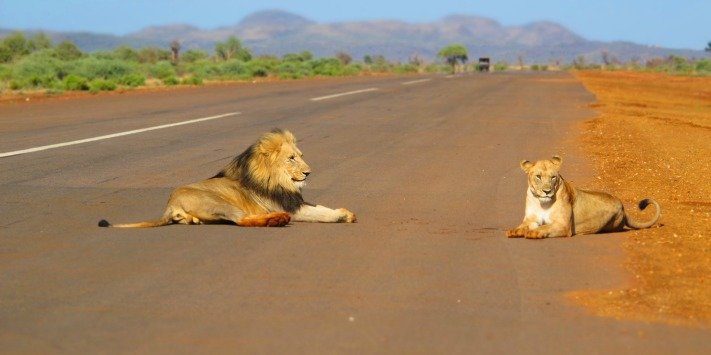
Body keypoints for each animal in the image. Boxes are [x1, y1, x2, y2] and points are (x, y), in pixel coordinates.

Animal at [96, 130, 356, 228]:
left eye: (301, 156)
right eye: (291, 158)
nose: (309, 172)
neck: (279, 181)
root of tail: (169, 205)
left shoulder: (294, 201)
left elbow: (320, 206)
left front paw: (345, 211)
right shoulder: (291, 207)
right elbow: (320, 213)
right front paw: (342, 216)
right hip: (220, 202)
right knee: (242, 220)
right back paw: (278, 220)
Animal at [506, 157, 660, 241]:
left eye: (553, 177)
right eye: (538, 176)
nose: (547, 191)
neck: (542, 203)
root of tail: (621, 205)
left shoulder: (563, 225)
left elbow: (545, 226)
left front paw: (534, 232)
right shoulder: (531, 219)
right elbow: (523, 225)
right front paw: (515, 230)